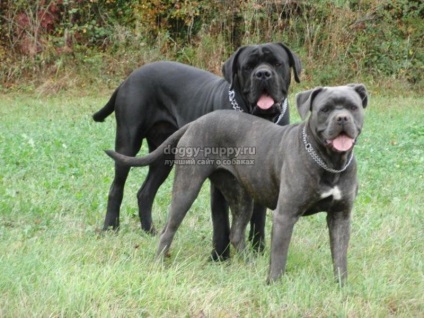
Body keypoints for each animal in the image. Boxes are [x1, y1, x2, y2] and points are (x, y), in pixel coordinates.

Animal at [93, 42, 302, 258]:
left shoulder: (261, 176)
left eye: (277, 63)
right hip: (128, 143)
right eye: (248, 67)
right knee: (116, 187)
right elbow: (221, 220)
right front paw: (219, 257)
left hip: (164, 157)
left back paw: (149, 230)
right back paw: (110, 227)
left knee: (145, 192)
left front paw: (259, 250)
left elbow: (258, 218)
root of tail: (129, 78)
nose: (262, 74)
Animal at [106, 84, 368, 284]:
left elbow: (340, 256)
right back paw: (159, 263)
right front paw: (274, 285)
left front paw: (342, 286)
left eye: (353, 107)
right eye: (325, 109)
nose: (342, 118)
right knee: (168, 229)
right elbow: (279, 257)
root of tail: (196, 122)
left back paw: (250, 264)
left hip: (241, 196)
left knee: (236, 233)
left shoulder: (340, 216)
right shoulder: (285, 215)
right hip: (187, 188)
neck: (330, 163)